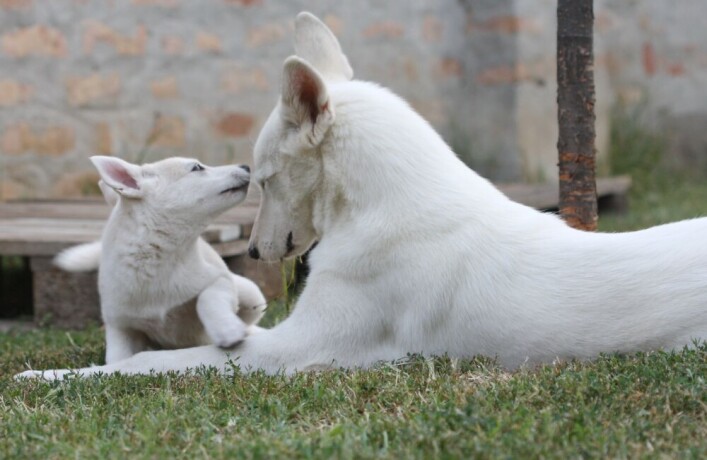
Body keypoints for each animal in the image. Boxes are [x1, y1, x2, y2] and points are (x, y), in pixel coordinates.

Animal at [49, 156, 266, 364]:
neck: (155, 257)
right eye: (197, 167)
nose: (246, 166)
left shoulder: (221, 279)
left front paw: (227, 329)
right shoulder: (120, 327)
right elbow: (117, 359)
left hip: (251, 292)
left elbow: (206, 297)